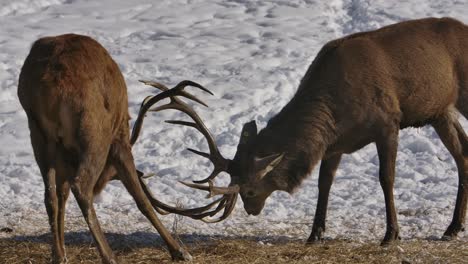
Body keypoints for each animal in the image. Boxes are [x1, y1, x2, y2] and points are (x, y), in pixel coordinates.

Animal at [16, 34, 219, 262]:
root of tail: (50, 81)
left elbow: (61, 194)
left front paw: (60, 254)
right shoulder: (119, 140)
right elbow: (141, 200)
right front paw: (179, 251)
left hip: (39, 134)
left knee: (50, 195)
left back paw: (59, 255)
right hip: (95, 131)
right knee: (81, 186)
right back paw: (109, 256)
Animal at [138, 17, 468, 245]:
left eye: (249, 189)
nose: (251, 210)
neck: (333, 110)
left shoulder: (388, 122)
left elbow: (386, 178)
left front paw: (391, 234)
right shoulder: (336, 142)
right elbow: (324, 183)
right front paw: (315, 234)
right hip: (441, 111)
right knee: (463, 155)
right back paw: (452, 228)